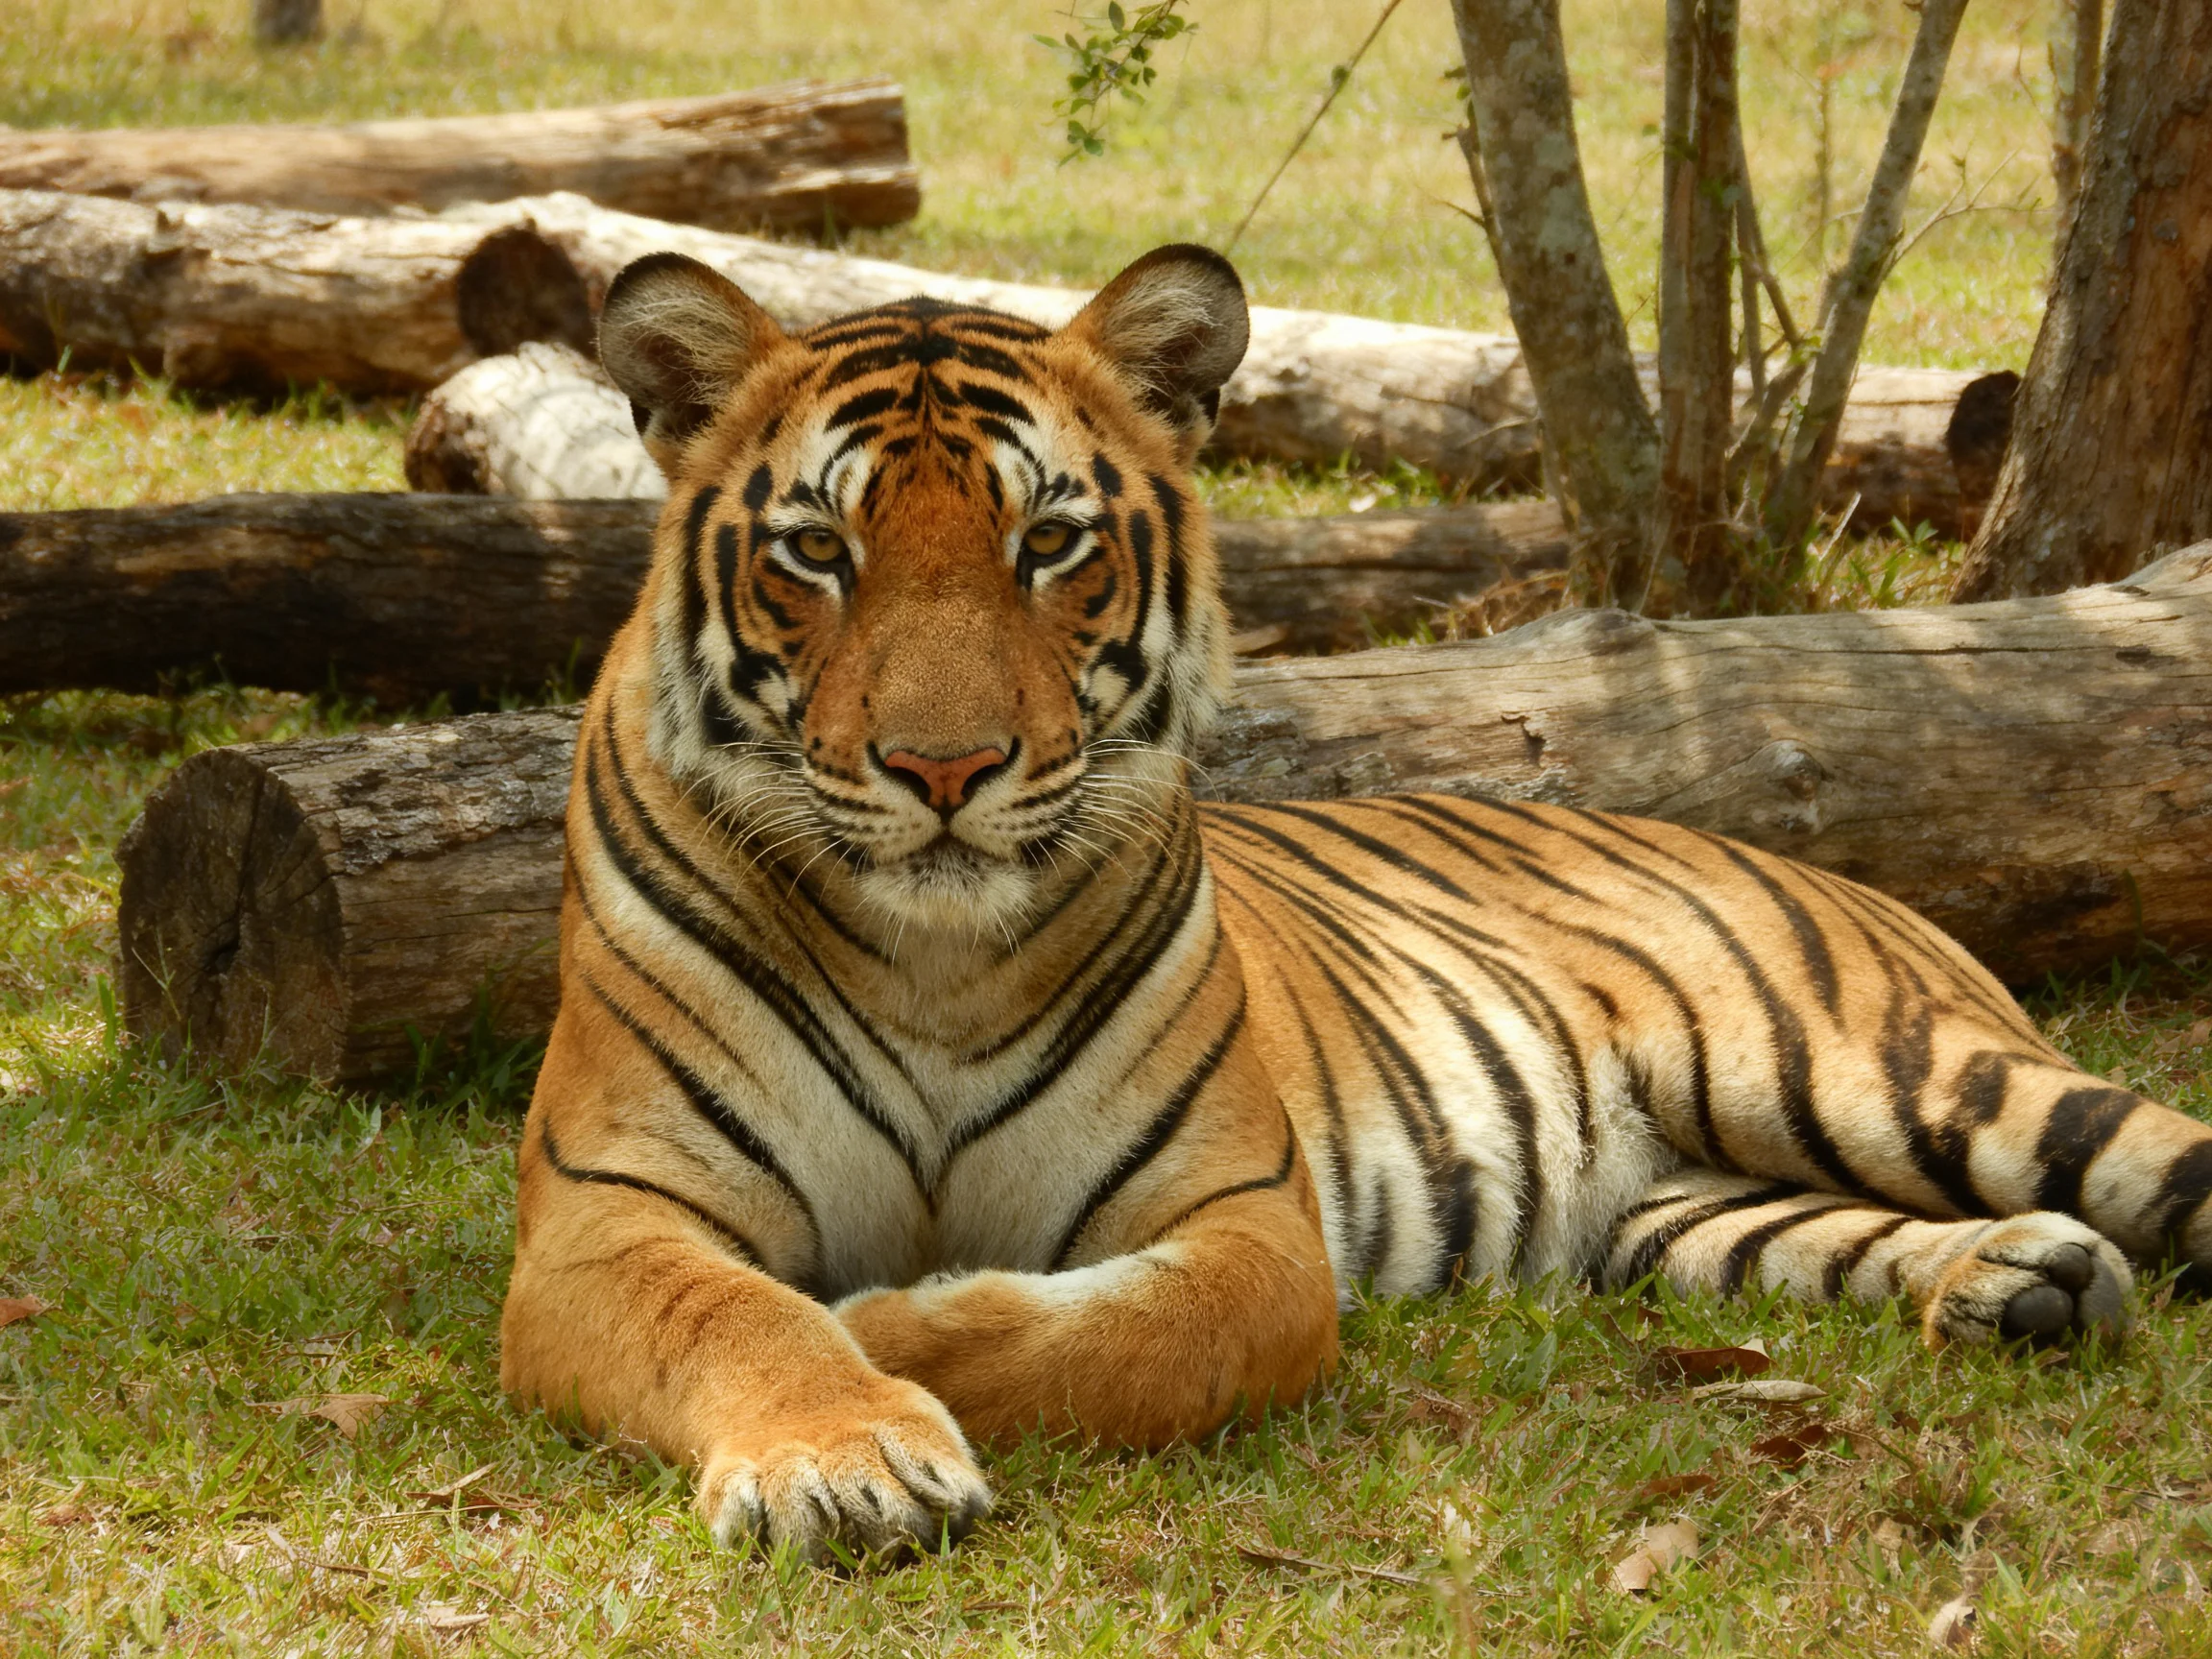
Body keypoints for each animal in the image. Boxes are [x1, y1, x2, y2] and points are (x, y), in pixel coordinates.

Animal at [499, 242, 2212, 1558]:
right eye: (815, 550)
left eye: (1048, 542)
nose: (943, 766)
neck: (933, 954)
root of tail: (1842, 875)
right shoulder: (606, 1214)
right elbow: (736, 1315)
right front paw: (843, 1459)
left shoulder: (1247, 1224)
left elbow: (1114, 1337)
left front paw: (894, 1324)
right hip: (1683, 1213)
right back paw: (2025, 1285)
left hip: (1890, 1074)